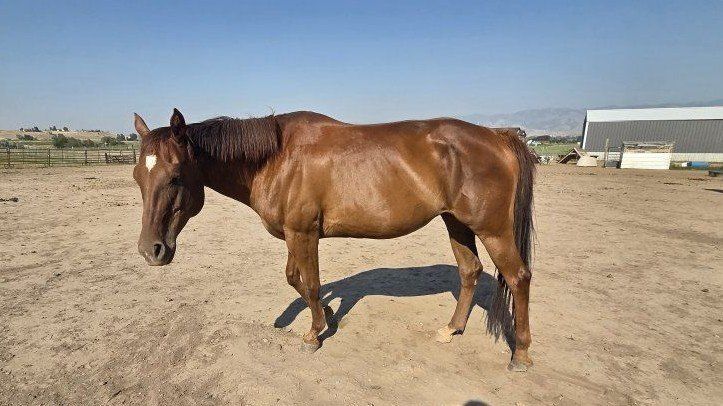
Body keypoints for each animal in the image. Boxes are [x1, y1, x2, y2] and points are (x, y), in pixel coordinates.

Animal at [132, 108, 536, 371]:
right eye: (138, 177)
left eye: (175, 176)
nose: (151, 251)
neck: (277, 158)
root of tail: (498, 136)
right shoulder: (294, 235)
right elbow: (295, 279)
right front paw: (327, 316)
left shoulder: (304, 233)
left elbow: (310, 284)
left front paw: (313, 334)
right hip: (457, 223)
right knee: (469, 272)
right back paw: (451, 330)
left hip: (493, 230)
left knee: (518, 278)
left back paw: (521, 354)